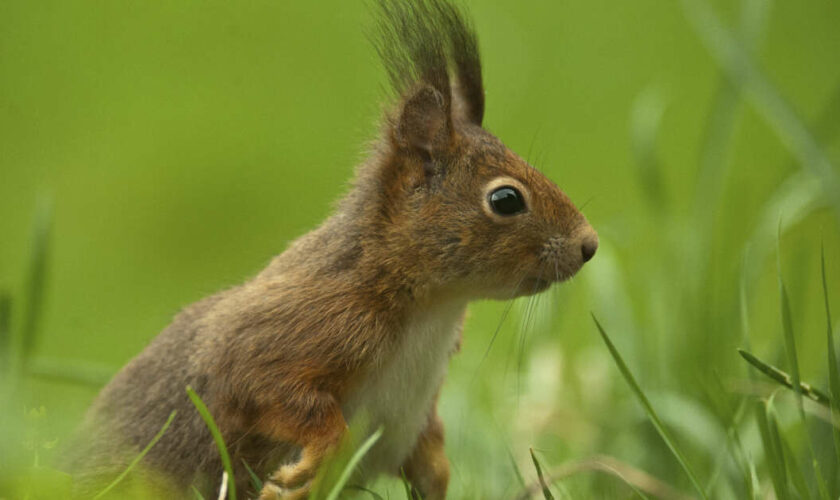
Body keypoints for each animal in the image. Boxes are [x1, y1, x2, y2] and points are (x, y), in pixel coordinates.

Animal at [69, 0, 600, 498]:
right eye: (506, 199)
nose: (588, 244)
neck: (433, 310)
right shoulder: (305, 325)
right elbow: (257, 384)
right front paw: (306, 470)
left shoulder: (411, 417)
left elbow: (430, 457)